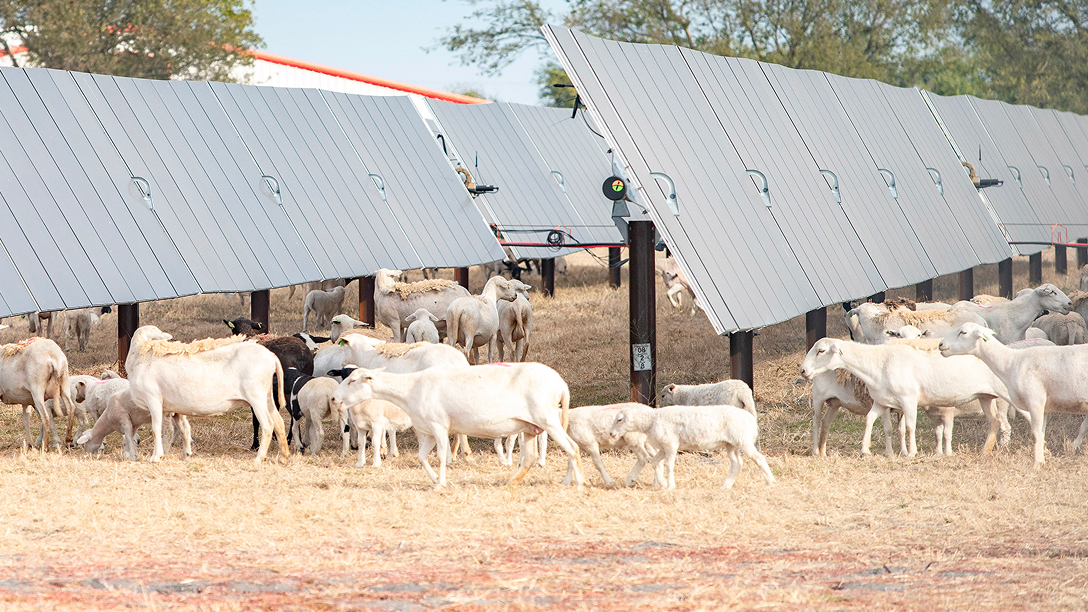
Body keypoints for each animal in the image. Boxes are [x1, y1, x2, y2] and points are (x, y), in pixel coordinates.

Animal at [125, 326, 287, 463]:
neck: (139, 357)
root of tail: (271, 357)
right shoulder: (171, 407)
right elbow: (177, 429)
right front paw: (182, 454)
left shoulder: (153, 399)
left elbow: (156, 429)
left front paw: (155, 457)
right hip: (266, 396)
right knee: (279, 422)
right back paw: (284, 457)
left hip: (256, 395)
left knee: (268, 425)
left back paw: (259, 458)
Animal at [330, 363, 584, 488]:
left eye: (353, 381)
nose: (333, 398)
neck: (410, 388)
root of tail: (561, 383)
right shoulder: (428, 431)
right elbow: (421, 457)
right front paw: (434, 480)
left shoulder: (439, 426)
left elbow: (441, 456)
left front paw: (440, 483)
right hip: (531, 426)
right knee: (531, 457)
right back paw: (512, 482)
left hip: (547, 418)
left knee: (572, 448)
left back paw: (576, 482)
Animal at [608, 404, 774, 490]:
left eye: (619, 420)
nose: (611, 434)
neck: (652, 420)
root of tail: (751, 419)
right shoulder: (663, 447)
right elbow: (655, 463)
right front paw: (662, 483)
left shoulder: (671, 445)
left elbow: (668, 465)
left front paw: (670, 485)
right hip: (731, 444)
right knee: (736, 463)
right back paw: (725, 486)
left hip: (743, 440)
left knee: (759, 458)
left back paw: (770, 482)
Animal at [801, 337, 1010, 458]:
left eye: (821, 351)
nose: (802, 370)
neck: (879, 362)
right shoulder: (882, 402)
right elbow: (871, 420)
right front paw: (865, 450)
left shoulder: (908, 400)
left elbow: (909, 427)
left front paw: (910, 453)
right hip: (985, 396)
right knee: (994, 422)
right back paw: (985, 452)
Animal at [940, 322, 1088, 467]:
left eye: (963, 332)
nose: (940, 344)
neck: (1010, 362)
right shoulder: (1044, 407)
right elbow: (1042, 433)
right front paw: (1044, 459)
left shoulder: (1035, 401)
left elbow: (1036, 434)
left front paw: (1037, 465)